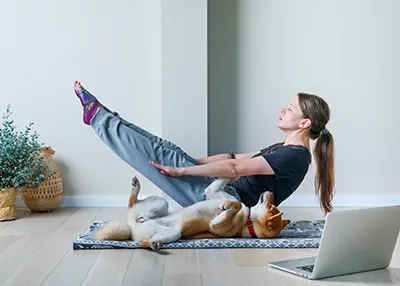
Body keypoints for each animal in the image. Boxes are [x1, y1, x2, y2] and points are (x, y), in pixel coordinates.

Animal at [95, 152, 290, 250]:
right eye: (272, 205)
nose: (271, 191)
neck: (247, 220)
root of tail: (130, 228)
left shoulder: (216, 226)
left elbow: (236, 204)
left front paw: (227, 206)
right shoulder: (213, 191)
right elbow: (226, 182)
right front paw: (230, 159)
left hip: (172, 232)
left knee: (143, 238)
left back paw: (152, 244)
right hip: (161, 204)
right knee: (133, 205)